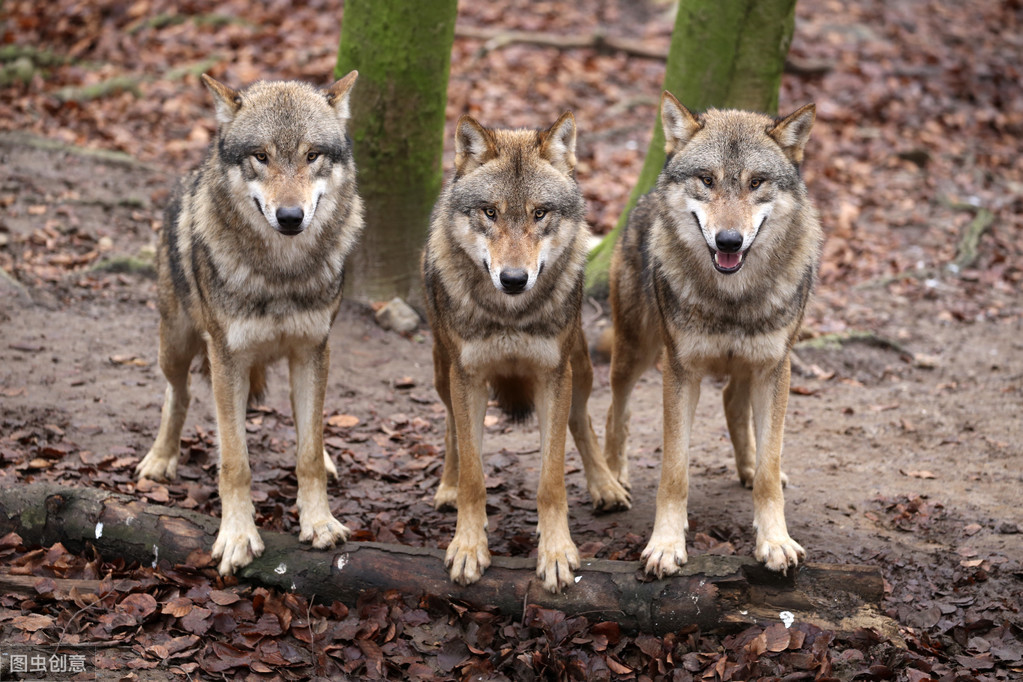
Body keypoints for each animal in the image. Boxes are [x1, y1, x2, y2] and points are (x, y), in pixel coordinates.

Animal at [134, 72, 362, 576]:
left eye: (312, 155)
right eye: (261, 156)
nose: (291, 217)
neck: (280, 275)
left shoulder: (313, 349)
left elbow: (308, 453)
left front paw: (319, 522)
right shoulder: (227, 357)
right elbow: (235, 463)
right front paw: (237, 536)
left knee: (307, 425)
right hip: (175, 345)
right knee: (177, 394)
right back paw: (160, 458)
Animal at [421, 111, 630, 593]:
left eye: (540, 212)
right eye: (490, 212)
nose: (514, 279)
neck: (510, 316)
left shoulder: (554, 377)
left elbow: (551, 480)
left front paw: (556, 553)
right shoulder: (467, 378)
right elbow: (475, 476)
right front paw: (468, 546)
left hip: (580, 369)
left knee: (582, 422)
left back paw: (605, 486)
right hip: (443, 371)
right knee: (451, 428)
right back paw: (446, 486)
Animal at [605, 93, 822, 580]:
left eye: (756, 182)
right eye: (707, 180)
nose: (728, 240)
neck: (732, 298)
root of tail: (642, 196)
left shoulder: (775, 367)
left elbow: (770, 468)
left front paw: (775, 541)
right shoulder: (680, 370)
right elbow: (674, 470)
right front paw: (665, 545)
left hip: (747, 367)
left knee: (734, 407)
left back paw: (748, 466)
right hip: (635, 353)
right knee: (614, 410)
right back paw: (611, 480)